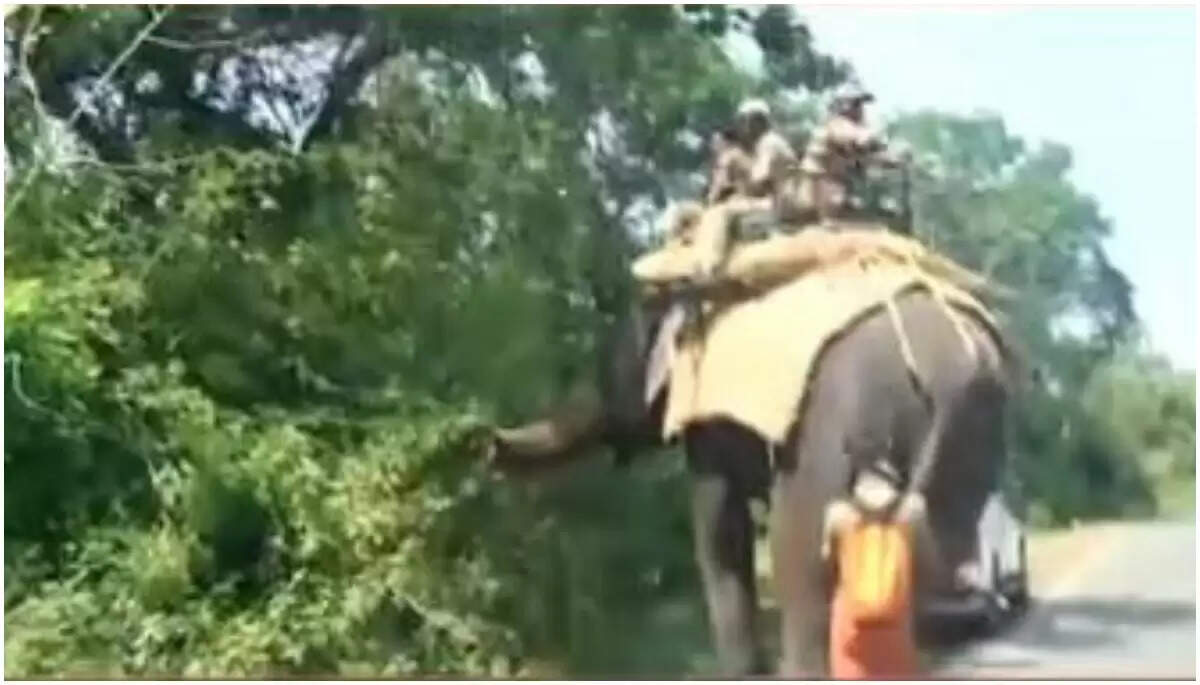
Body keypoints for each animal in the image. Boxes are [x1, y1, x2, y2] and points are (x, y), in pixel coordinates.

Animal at [489, 285, 1015, 677]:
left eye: (613, 367)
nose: (483, 443)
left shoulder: (707, 414)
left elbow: (720, 526)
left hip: (831, 427)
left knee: (797, 546)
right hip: (970, 432)